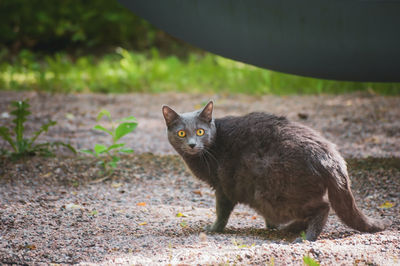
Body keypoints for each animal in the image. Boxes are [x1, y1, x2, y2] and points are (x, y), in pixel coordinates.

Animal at [161, 101, 390, 241]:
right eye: (181, 133)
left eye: (200, 132)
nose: (192, 144)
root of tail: (331, 156)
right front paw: (270, 226)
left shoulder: (222, 187)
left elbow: (221, 211)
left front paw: (214, 229)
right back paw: (291, 228)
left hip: (270, 195)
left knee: (323, 207)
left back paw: (306, 237)